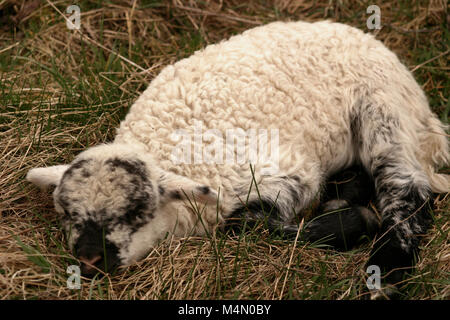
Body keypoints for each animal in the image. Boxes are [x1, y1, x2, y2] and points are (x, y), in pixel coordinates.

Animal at [26, 21, 448, 298]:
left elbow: (244, 225)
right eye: (67, 214)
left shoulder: (284, 174)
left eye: (136, 214)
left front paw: (354, 223)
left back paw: (386, 273)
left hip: (384, 109)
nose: (90, 260)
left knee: (406, 189)